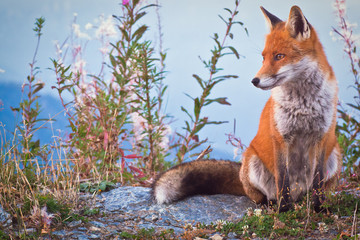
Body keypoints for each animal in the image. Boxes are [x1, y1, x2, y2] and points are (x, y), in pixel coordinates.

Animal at [150, 5, 342, 212]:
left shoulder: (322, 137)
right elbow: (283, 181)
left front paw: (319, 209)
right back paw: (271, 205)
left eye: (279, 56)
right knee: (261, 195)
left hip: (335, 155)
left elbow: (318, 181)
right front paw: (283, 211)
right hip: (252, 163)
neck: (303, 104)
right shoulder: (280, 137)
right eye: (263, 58)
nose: (254, 80)